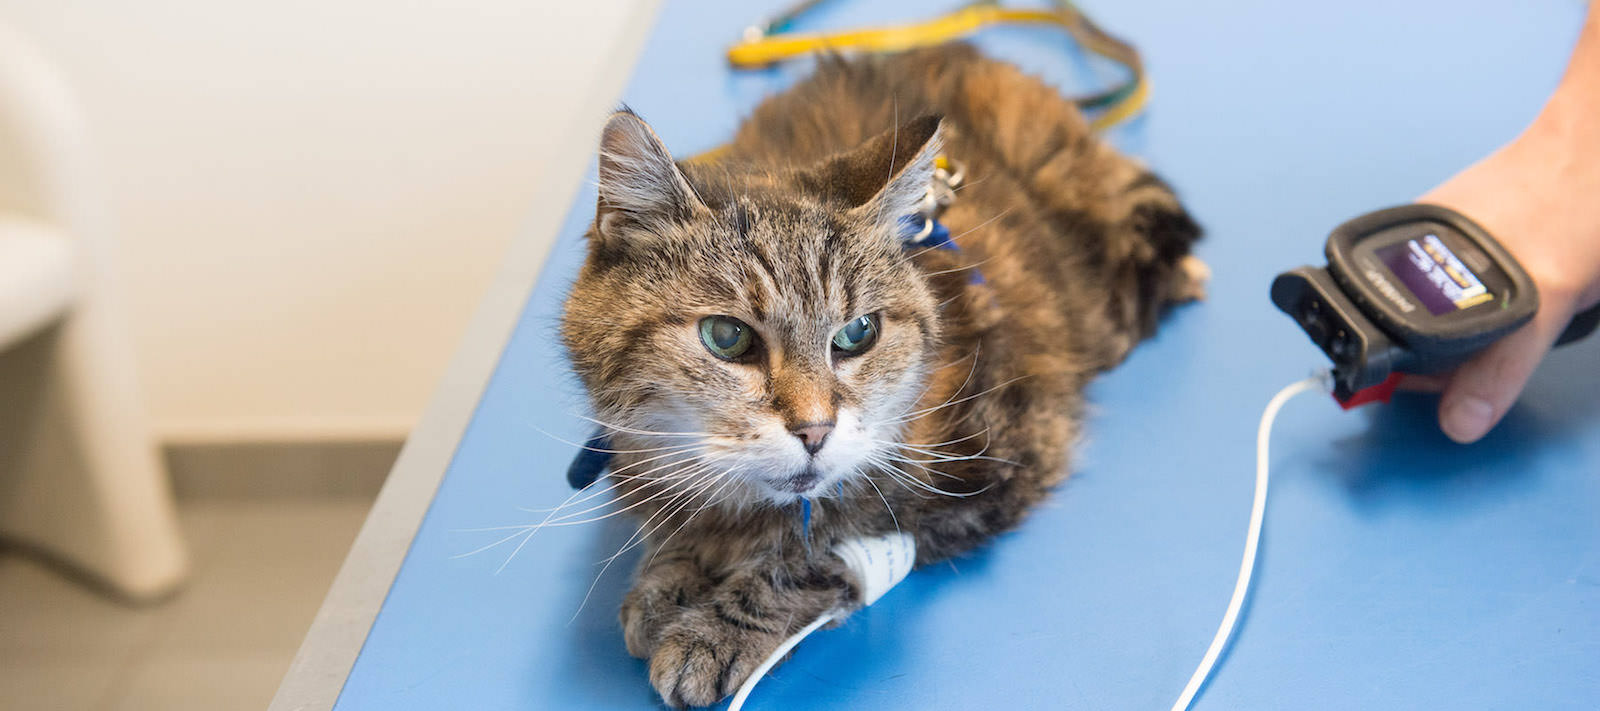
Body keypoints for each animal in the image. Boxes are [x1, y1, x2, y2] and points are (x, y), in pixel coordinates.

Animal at [560, 43, 1203, 704]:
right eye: (727, 336)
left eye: (858, 333)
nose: (815, 431)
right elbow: (678, 526)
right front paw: (670, 578)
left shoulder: (998, 452)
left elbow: (819, 550)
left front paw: (716, 628)